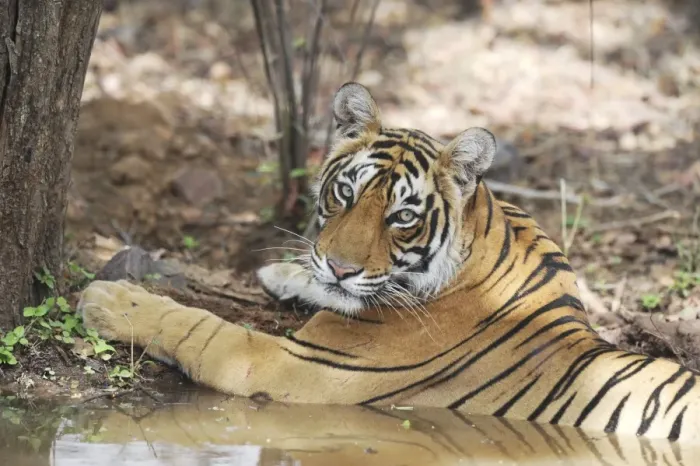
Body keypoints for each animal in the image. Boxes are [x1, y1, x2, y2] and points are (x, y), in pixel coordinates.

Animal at [79, 82, 700, 444]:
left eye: (402, 217)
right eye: (345, 194)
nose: (338, 267)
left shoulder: (288, 365)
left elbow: (202, 328)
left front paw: (111, 299)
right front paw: (285, 272)